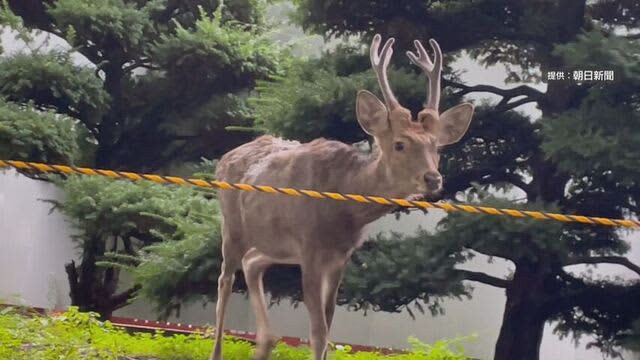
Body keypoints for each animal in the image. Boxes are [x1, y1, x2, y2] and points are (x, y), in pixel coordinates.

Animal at [211, 34, 476, 360]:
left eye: (436, 146)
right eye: (400, 144)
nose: (433, 178)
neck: (344, 200)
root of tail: (225, 157)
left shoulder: (339, 258)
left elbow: (328, 326)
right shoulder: (310, 250)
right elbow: (318, 332)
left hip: (275, 245)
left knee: (252, 262)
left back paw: (266, 342)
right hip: (232, 225)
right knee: (225, 280)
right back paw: (220, 349)